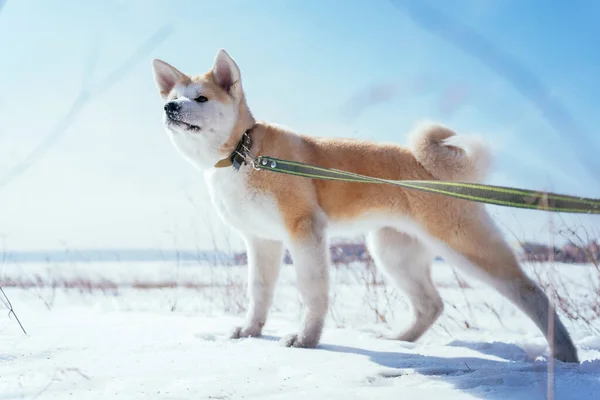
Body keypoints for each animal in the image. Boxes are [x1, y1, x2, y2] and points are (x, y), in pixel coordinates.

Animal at [152, 48, 580, 364]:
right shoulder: (262, 241)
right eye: (173, 98)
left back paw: (566, 354)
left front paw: (306, 339)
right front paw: (250, 332)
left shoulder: (304, 230)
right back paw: (401, 340)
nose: (170, 109)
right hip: (393, 252)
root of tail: (433, 167)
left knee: (530, 291)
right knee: (432, 304)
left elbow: (312, 291)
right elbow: (259, 292)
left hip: (464, 246)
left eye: (201, 98)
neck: (243, 152)